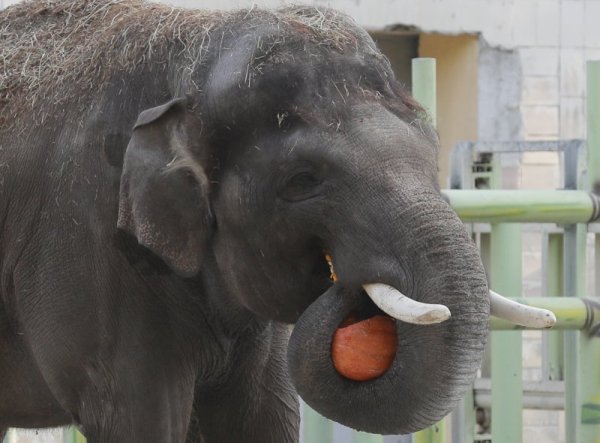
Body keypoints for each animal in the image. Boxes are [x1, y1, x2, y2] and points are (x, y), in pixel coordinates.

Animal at [0, 0, 552, 443]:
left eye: (431, 156)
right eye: (303, 181)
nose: (343, 278)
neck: (191, 53)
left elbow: (263, 417)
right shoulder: (90, 245)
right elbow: (137, 420)